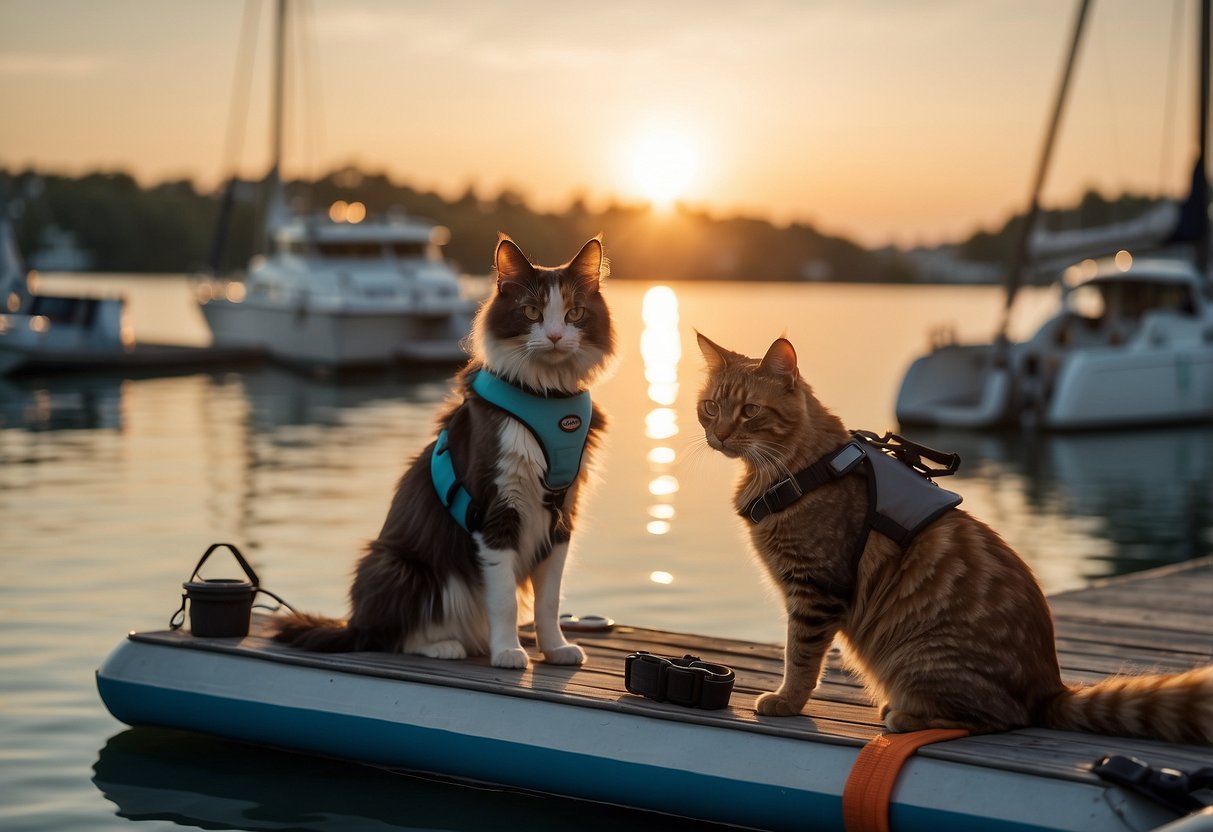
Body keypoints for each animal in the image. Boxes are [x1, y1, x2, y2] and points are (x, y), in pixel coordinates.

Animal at [275, 236, 616, 669]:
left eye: (574, 313)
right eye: (532, 312)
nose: (555, 336)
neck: (547, 397)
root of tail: (355, 623)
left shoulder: (560, 514)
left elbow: (549, 600)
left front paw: (555, 649)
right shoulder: (496, 510)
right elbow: (504, 600)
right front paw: (508, 652)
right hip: (398, 566)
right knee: (388, 636)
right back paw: (444, 646)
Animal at [698, 332, 1208, 742]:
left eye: (749, 411)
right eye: (710, 407)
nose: (718, 434)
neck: (801, 466)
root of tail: (1050, 687)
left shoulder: (815, 590)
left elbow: (800, 658)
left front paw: (786, 700)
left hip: (918, 655)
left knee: (999, 718)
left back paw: (904, 715)